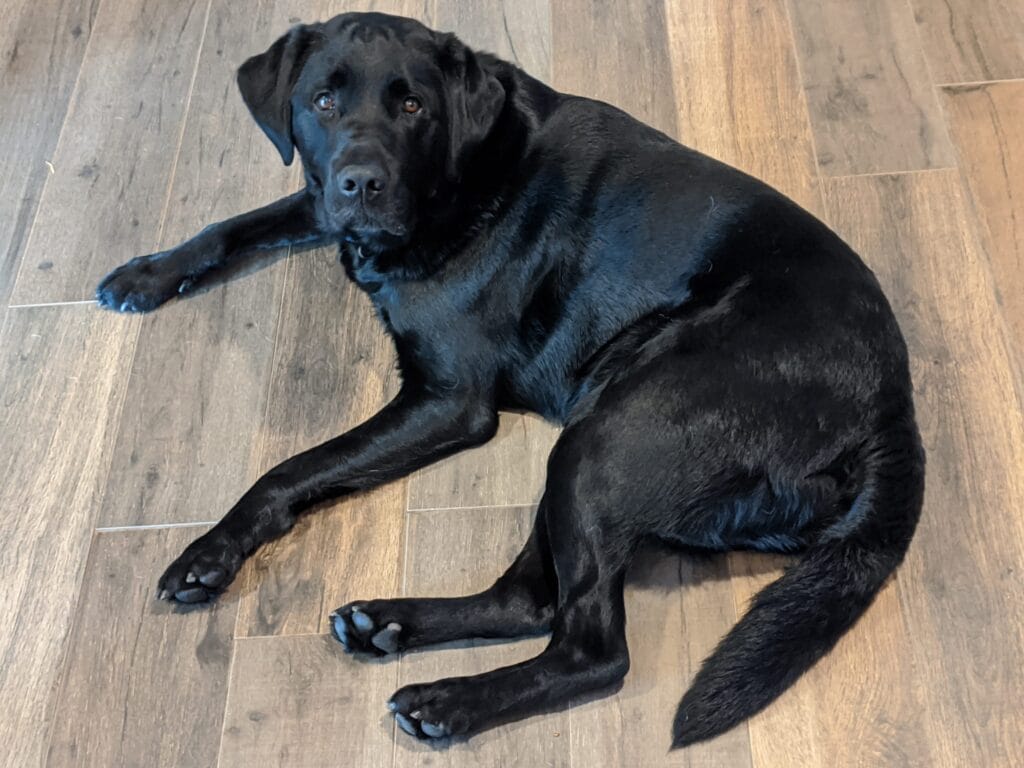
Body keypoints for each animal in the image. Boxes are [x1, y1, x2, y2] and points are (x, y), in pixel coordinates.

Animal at [95, 12, 924, 748]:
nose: (362, 182)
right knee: (528, 599)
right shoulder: (321, 199)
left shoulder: (446, 401)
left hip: (608, 439)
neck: (464, 175)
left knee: (591, 651)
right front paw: (149, 272)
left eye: (413, 105)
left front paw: (210, 554)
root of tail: (893, 410)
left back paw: (450, 702)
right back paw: (391, 623)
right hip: (596, 429)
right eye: (322, 101)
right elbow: (241, 221)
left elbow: (292, 467)